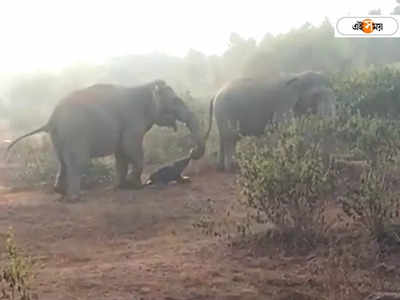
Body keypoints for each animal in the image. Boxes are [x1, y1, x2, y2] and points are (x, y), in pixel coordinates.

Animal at [5, 79, 206, 202]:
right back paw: (75, 198)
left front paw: (122, 187)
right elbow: (131, 147)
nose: (191, 151)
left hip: (60, 136)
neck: (145, 86)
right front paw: (135, 185)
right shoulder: (132, 120)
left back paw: (61, 193)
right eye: (176, 101)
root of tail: (51, 118)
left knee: (62, 161)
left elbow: (121, 154)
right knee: (78, 162)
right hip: (75, 132)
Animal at [208, 70, 336, 172]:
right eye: (316, 96)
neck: (298, 76)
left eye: (333, 94)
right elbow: (285, 126)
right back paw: (232, 168)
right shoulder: (284, 102)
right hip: (225, 111)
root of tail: (215, 94)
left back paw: (221, 167)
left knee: (223, 138)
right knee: (230, 138)